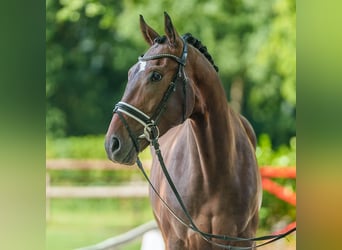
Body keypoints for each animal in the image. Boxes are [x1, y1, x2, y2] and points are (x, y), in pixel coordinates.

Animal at [104, 12, 262, 250]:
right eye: (130, 73)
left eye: (156, 75)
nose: (112, 144)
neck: (214, 174)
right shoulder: (177, 241)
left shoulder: (243, 241)